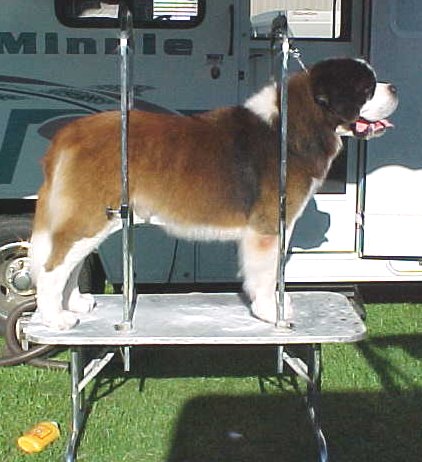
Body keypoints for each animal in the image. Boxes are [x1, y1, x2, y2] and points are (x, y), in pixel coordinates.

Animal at [28, 58, 398, 328]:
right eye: (367, 88)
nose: (394, 87)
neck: (295, 125)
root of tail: (69, 133)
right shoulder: (268, 226)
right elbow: (267, 272)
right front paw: (269, 311)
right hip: (90, 217)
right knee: (52, 267)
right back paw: (56, 318)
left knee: (69, 263)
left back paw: (75, 302)